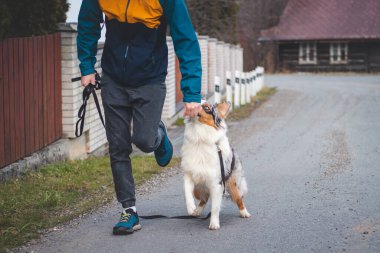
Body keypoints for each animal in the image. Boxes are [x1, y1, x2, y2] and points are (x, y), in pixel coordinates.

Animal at [180, 101, 251, 229]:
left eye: (206, 107)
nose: (189, 105)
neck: (200, 138)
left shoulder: (216, 183)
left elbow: (215, 207)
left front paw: (214, 224)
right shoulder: (189, 174)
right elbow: (186, 191)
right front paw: (191, 208)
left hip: (232, 184)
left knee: (239, 198)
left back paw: (245, 213)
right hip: (198, 190)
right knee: (204, 199)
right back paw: (197, 211)